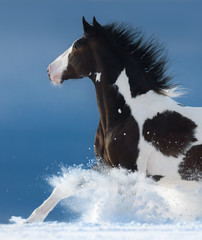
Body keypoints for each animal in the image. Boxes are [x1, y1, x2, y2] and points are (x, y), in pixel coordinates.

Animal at [26, 16, 201, 223]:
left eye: (76, 45)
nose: (49, 71)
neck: (124, 115)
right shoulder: (106, 167)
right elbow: (64, 187)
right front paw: (30, 221)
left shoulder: (128, 171)